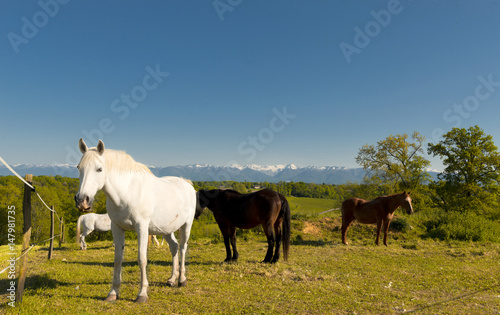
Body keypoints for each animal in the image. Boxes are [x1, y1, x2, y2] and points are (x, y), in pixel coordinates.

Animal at [74, 139, 195, 304]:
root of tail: (186, 183)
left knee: (182, 247)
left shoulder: (141, 228)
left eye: (99, 169)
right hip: (166, 229)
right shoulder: (117, 227)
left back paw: (182, 280)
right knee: (174, 247)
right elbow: (118, 259)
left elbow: (142, 259)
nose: (82, 201)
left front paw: (142, 294)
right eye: (79, 168)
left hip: (186, 226)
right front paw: (113, 293)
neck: (127, 193)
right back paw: (171, 279)